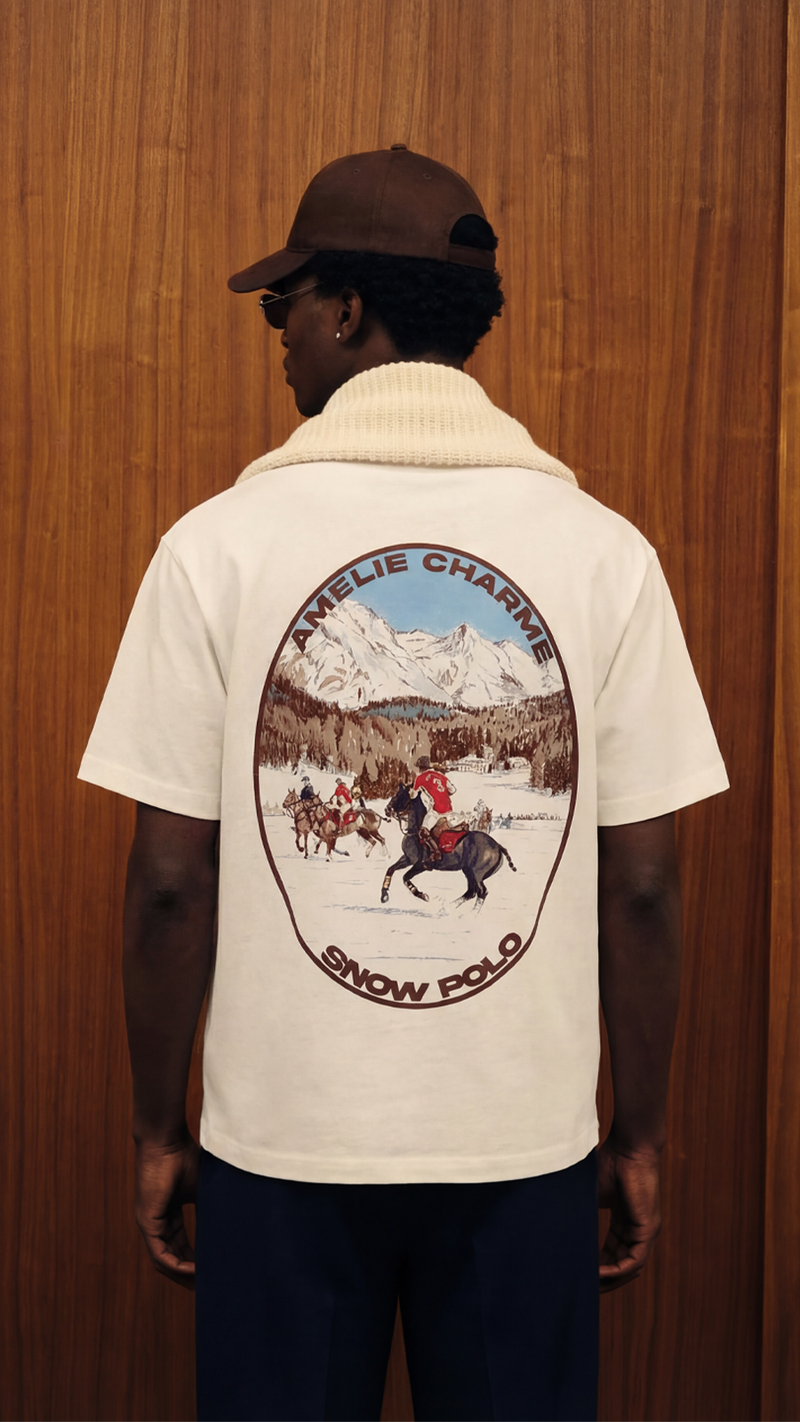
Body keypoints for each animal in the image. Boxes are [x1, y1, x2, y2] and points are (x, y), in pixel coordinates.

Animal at [382, 783, 516, 905]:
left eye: (400, 796)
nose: (387, 810)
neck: (413, 831)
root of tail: (498, 846)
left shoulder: (420, 864)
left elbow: (405, 877)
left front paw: (422, 895)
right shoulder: (408, 858)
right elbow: (390, 869)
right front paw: (384, 895)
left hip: (477, 872)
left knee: (481, 892)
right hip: (468, 871)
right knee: (471, 892)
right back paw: (450, 908)